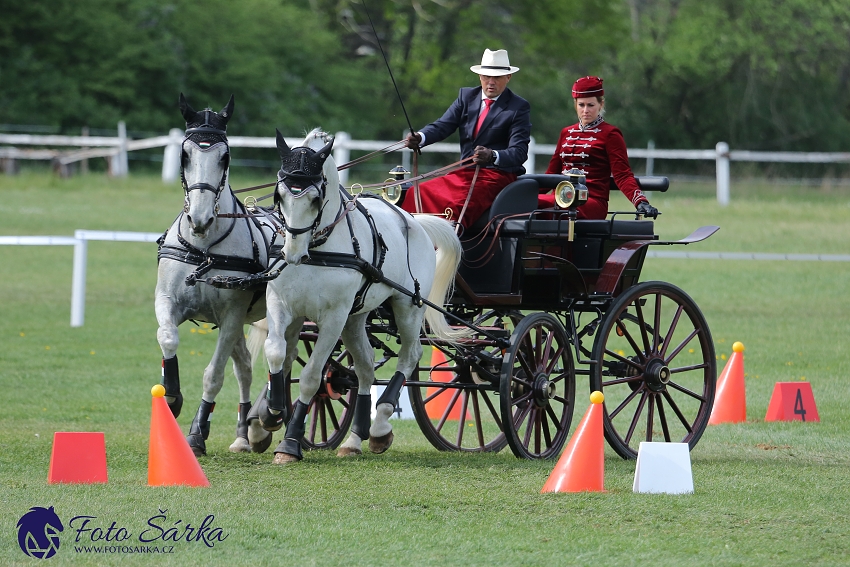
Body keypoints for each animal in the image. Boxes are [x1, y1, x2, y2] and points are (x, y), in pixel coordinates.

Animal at [156, 93, 278, 458]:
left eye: (225, 157)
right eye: (184, 154)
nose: (199, 218)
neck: (203, 247)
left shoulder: (232, 315)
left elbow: (213, 374)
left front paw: (197, 433)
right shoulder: (167, 301)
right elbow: (168, 338)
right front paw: (171, 397)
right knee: (245, 368)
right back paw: (243, 433)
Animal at [253, 130, 464, 466]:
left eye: (315, 198)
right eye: (280, 194)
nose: (292, 254)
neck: (319, 249)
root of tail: (415, 221)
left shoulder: (333, 317)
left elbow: (312, 376)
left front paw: (289, 443)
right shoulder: (281, 305)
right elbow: (277, 353)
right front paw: (271, 414)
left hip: (407, 307)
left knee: (410, 355)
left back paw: (380, 425)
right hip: (356, 318)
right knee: (364, 368)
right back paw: (355, 438)